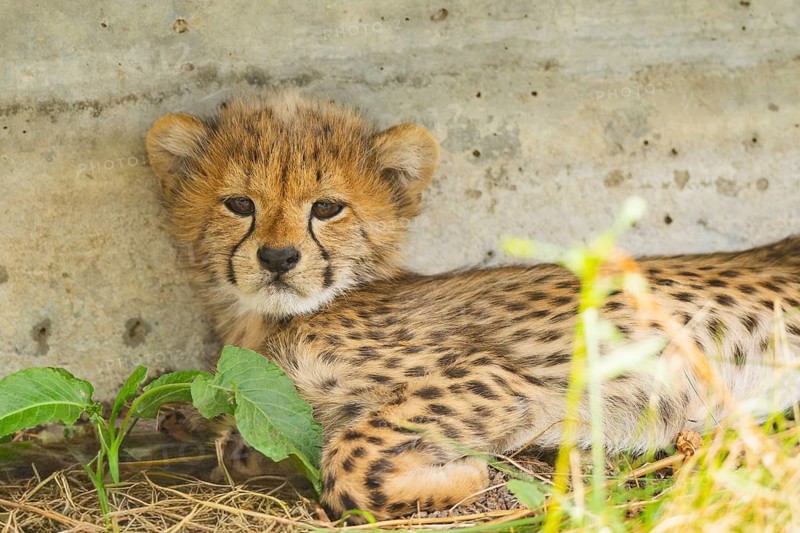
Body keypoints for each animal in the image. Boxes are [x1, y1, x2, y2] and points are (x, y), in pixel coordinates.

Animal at [145, 92, 800, 519]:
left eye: (327, 207)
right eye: (239, 204)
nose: (278, 258)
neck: (266, 323)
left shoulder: (491, 380)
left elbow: (348, 458)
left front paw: (464, 477)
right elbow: (254, 445)